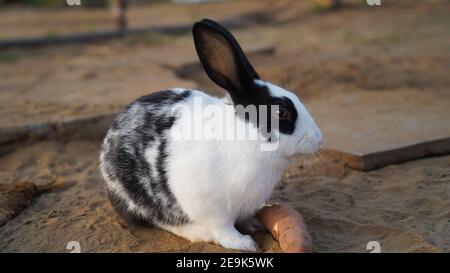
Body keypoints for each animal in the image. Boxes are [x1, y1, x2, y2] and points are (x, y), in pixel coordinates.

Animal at [100, 17, 322, 251]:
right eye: (281, 112)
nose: (318, 139)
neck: (246, 135)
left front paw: (254, 224)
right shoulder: (211, 208)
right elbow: (223, 229)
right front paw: (245, 243)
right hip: (136, 199)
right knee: (157, 220)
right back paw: (198, 232)